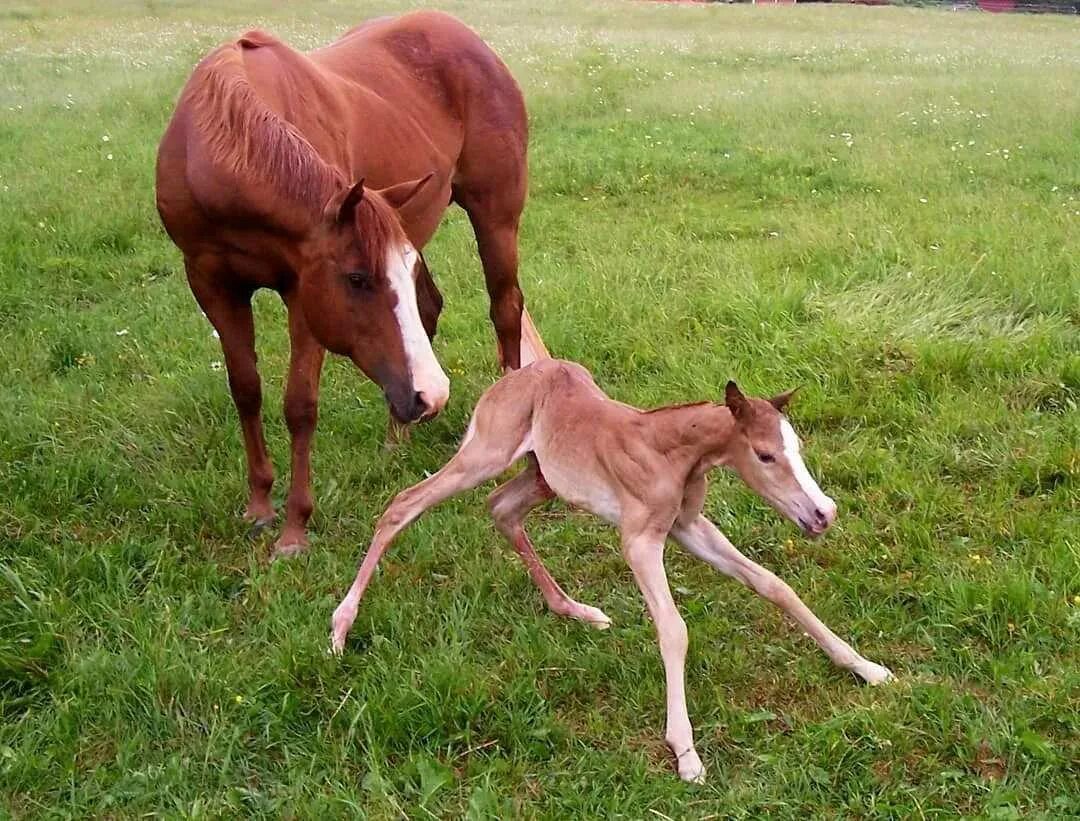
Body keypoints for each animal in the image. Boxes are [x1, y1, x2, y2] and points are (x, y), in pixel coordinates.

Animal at [156, 11, 544, 557]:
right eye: (358, 279)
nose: (431, 396)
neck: (215, 153)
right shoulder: (211, 282)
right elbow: (245, 389)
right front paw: (259, 506)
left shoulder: (302, 292)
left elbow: (299, 405)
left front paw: (294, 530)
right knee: (430, 309)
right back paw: (396, 439)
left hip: (496, 216)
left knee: (505, 308)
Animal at [330, 358, 894, 782]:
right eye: (764, 455)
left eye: (796, 447)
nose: (823, 514)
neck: (674, 451)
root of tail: (513, 377)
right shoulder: (639, 541)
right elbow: (673, 629)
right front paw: (686, 753)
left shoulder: (689, 528)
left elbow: (774, 585)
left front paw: (865, 667)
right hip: (485, 454)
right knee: (404, 504)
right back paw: (340, 627)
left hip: (542, 477)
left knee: (501, 509)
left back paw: (574, 610)